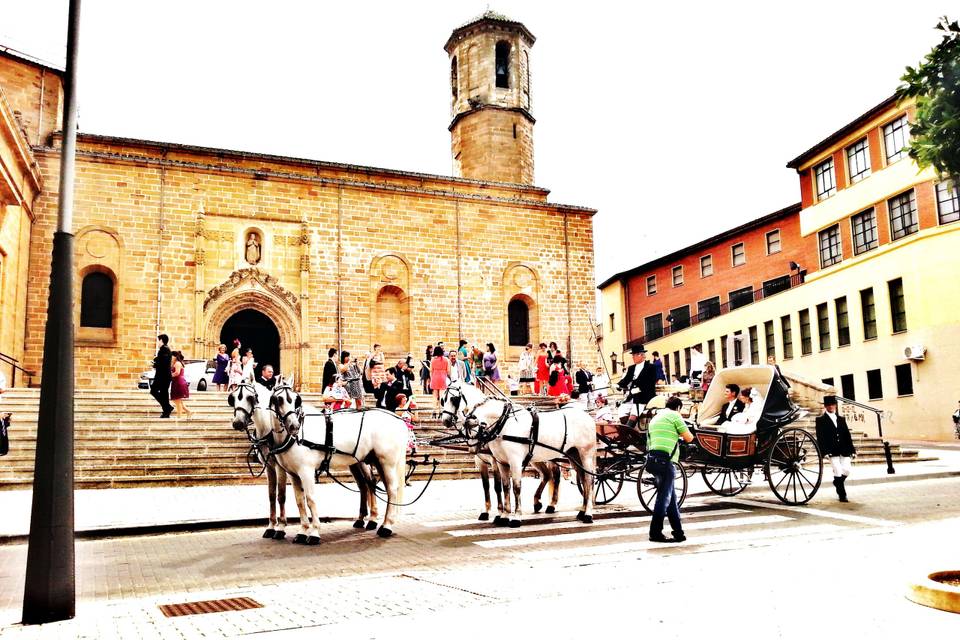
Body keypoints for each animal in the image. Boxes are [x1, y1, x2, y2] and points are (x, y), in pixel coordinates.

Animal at [231, 380, 380, 544]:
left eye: (250, 397)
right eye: (233, 398)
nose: (237, 423)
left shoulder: (281, 468)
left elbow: (282, 496)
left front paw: (281, 528)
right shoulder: (270, 466)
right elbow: (272, 495)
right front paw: (271, 527)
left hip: (363, 461)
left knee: (370, 482)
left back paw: (373, 519)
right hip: (354, 462)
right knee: (362, 485)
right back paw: (360, 519)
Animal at [268, 380, 406, 540]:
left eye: (297, 399)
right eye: (278, 399)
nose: (294, 426)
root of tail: (397, 419)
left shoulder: (306, 471)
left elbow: (310, 499)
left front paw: (314, 532)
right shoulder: (293, 474)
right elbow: (300, 501)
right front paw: (303, 531)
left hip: (387, 462)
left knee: (392, 489)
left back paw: (387, 526)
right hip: (374, 462)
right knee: (374, 486)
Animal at [440, 382, 592, 528]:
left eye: (454, 399)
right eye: (443, 400)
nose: (445, 420)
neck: (503, 425)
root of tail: (585, 414)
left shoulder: (510, 462)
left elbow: (509, 487)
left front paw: (512, 516)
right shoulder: (492, 462)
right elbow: (497, 486)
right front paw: (497, 514)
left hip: (584, 455)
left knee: (585, 479)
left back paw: (584, 513)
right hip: (568, 456)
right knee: (563, 476)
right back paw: (574, 509)